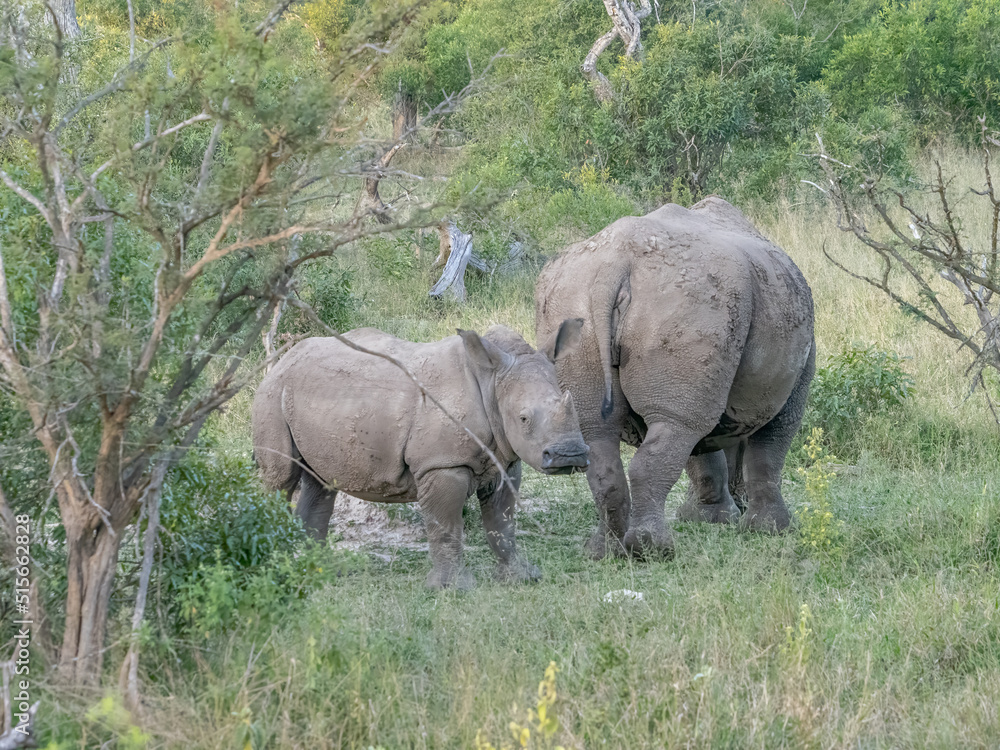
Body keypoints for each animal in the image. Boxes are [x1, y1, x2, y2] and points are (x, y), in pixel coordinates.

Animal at [251, 321, 589, 588]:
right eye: (523, 419)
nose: (570, 455)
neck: (491, 382)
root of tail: (280, 362)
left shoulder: (504, 461)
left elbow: (503, 523)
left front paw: (523, 577)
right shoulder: (441, 464)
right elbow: (446, 525)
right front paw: (451, 589)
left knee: (320, 483)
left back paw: (321, 572)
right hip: (272, 394)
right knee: (282, 479)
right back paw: (272, 571)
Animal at [535, 197, 815, 560]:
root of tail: (613, 266)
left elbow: (704, 452)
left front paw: (708, 519)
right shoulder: (791, 381)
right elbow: (769, 449)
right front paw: (772, 529)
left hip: (573, 303)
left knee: (599, 429)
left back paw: (605, 551)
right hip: (691, 302)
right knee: (678, 424)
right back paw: (653, 550)